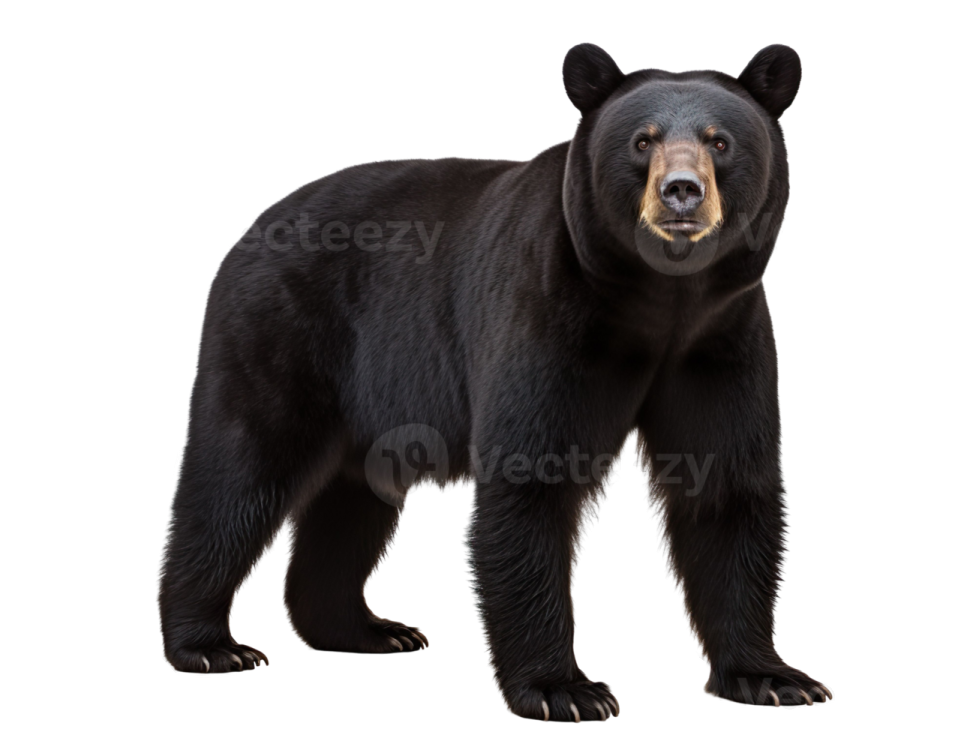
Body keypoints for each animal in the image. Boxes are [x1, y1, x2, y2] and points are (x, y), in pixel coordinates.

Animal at [157, 41, 830, 721]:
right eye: (643, 140)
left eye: (720, 141)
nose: (681, 192)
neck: (660, 300)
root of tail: (254, 226)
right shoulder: (548, 304)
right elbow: (531, 478)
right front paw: (564, 690)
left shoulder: (721, 335)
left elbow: (726, 481)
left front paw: (773, 676)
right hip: (281, 328)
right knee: (242, 468)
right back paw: (208, 644)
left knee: (350, 501)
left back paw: (368, 630)